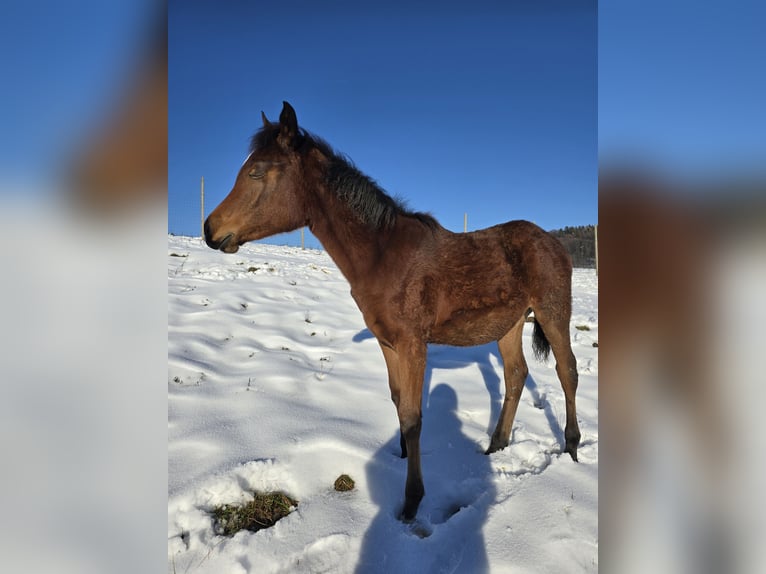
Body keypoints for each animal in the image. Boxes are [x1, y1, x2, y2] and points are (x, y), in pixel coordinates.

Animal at [204, 101, 580, 521]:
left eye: (256, 171)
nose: (210, 229)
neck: (382, 256)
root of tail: (553, 242)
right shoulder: (387, 343)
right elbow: (399, 402)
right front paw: (397, 459)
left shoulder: (414, 343)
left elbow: (414, 418)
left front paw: (412, 501)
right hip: (509, 324)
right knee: (515, 376)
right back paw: (496, 445)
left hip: (552, 312)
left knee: (567, 371)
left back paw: (572, 447)